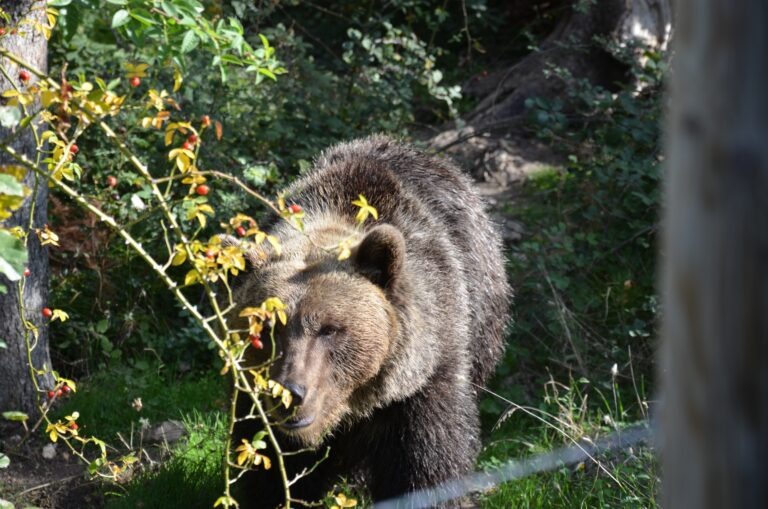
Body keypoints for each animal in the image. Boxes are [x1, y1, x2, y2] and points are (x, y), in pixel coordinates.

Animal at [227, 135, 510, 508]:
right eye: (268, 327)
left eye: (330, 329)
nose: (290, 392)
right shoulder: (256, 400)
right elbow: (270, 469)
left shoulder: (424, 379)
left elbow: (429, 468)